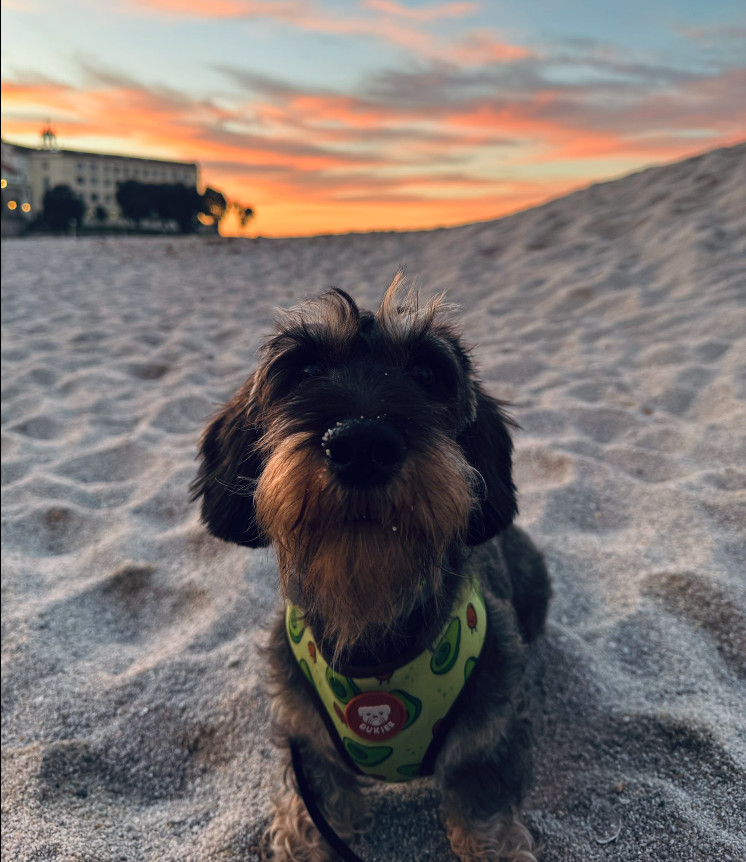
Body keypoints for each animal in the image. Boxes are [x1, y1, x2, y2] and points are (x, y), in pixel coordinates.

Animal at [190, 276, 552, 862]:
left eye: (427, 372)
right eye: (304, 370)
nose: (362, 443)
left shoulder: (488, 744)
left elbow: (487, 822)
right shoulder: (309, 751)